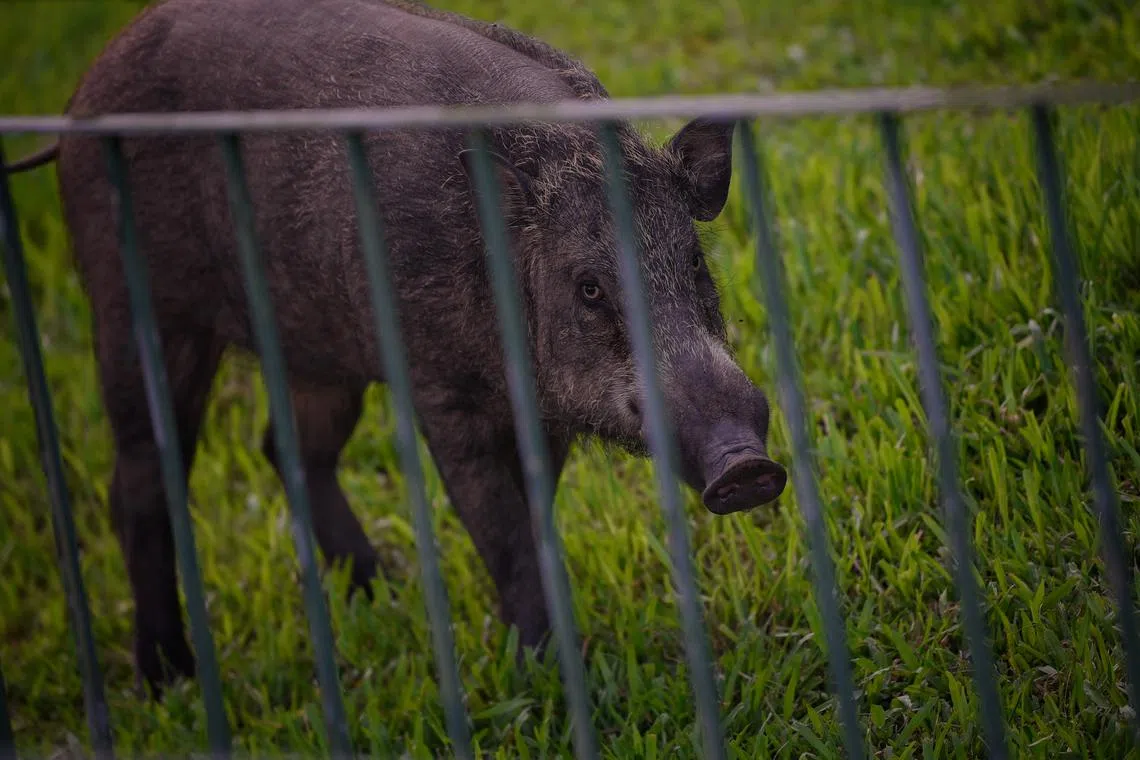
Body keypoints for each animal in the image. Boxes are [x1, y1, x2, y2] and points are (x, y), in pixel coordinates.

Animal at [5, 0, 787, 694]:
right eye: (589, 286)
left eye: (694, 262)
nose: (747, 466)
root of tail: (78, 102)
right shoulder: (442, 391)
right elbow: (500, 530)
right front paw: (545, 670)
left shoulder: (542, 408)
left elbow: (532, 517)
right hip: (133, 310)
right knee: (140, 479)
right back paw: (167, 681)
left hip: (317, 347)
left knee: (287, 449)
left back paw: (381, 590)